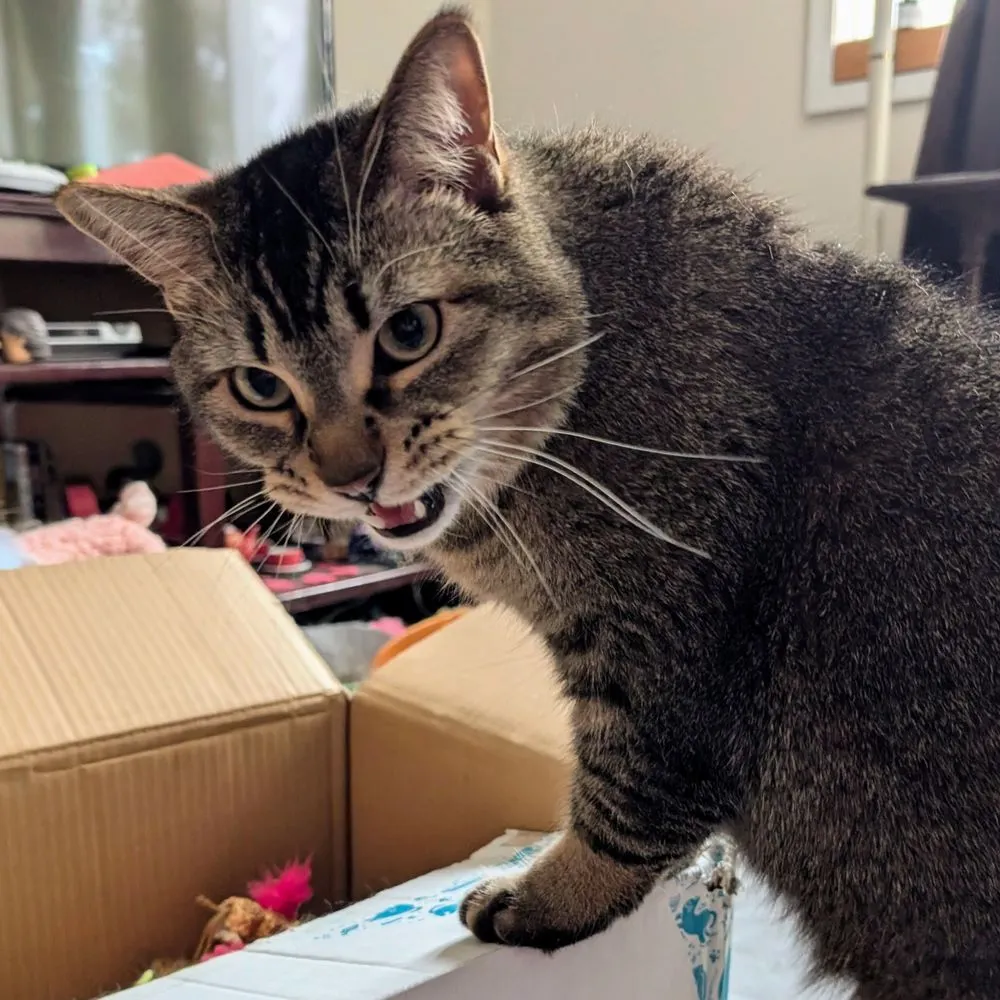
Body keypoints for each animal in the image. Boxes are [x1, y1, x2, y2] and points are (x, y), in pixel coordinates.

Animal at [57, 8, 1000, 999]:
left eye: (408, 332)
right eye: (260, 387)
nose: (351, 476)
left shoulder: (664, 656)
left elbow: (623, 801)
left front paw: (549, 894)